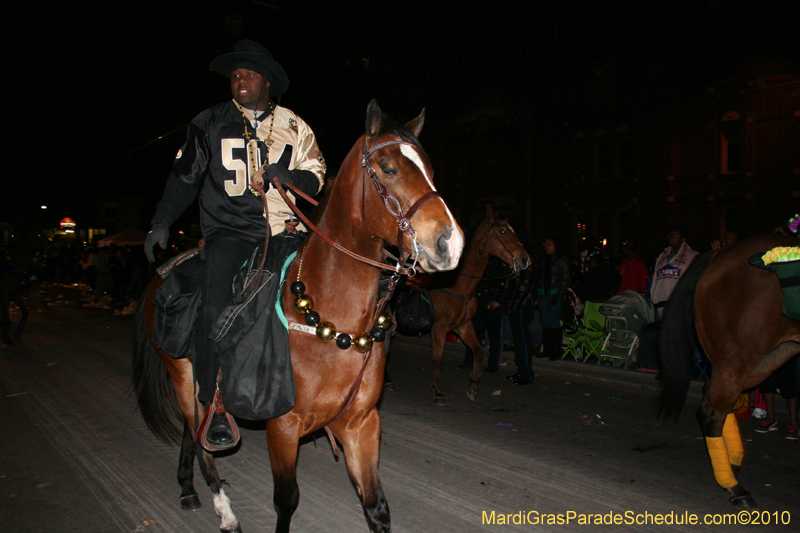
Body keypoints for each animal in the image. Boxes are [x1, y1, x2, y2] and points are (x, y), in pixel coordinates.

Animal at [133, 101, 462, 532]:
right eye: (389, 168)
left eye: (430, 170)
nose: (450, 242)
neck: (332, 320)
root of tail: (165, 268)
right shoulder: (283, 426)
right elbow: (287, 500)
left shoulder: (361, 426)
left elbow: (377, 507)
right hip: (183, 375)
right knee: (201, 433)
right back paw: (224, 508)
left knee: (193, 432)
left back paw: (188, 488)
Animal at [424, 207, 532, 404]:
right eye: (503, 231)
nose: (525, 258)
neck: (457, 285)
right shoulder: (439, 327)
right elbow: (437, 359)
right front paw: (436, 390)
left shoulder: (463, 326)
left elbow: (478, 350)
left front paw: (473, 385)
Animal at [656, 234, 800, 508]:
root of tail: (720, 254)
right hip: (741, 354)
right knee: (713, 410)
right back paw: (734, 485)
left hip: (770, 355)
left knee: (715, 400)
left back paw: (731, 465)